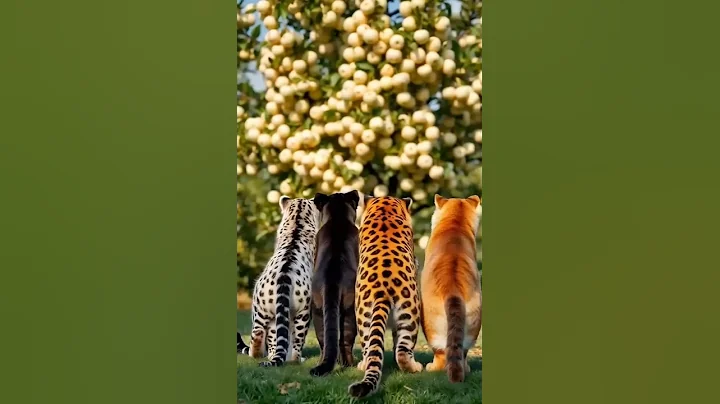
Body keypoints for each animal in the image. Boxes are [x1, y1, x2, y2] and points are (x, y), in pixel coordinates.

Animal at [246, 196, 321, 367]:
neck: (298, 220)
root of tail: (284, 274)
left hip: (263, 313)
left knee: (260, 335)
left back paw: (262, 356)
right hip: (303, 314)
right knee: (296, 342)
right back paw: (296, 360)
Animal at [348, 195, 423, 398]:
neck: (384, 210)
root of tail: (382, 290)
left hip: (364, 320)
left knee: (370, 349)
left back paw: (364, 364)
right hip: (410, 317)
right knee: (403, 351)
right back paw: (415, 367)